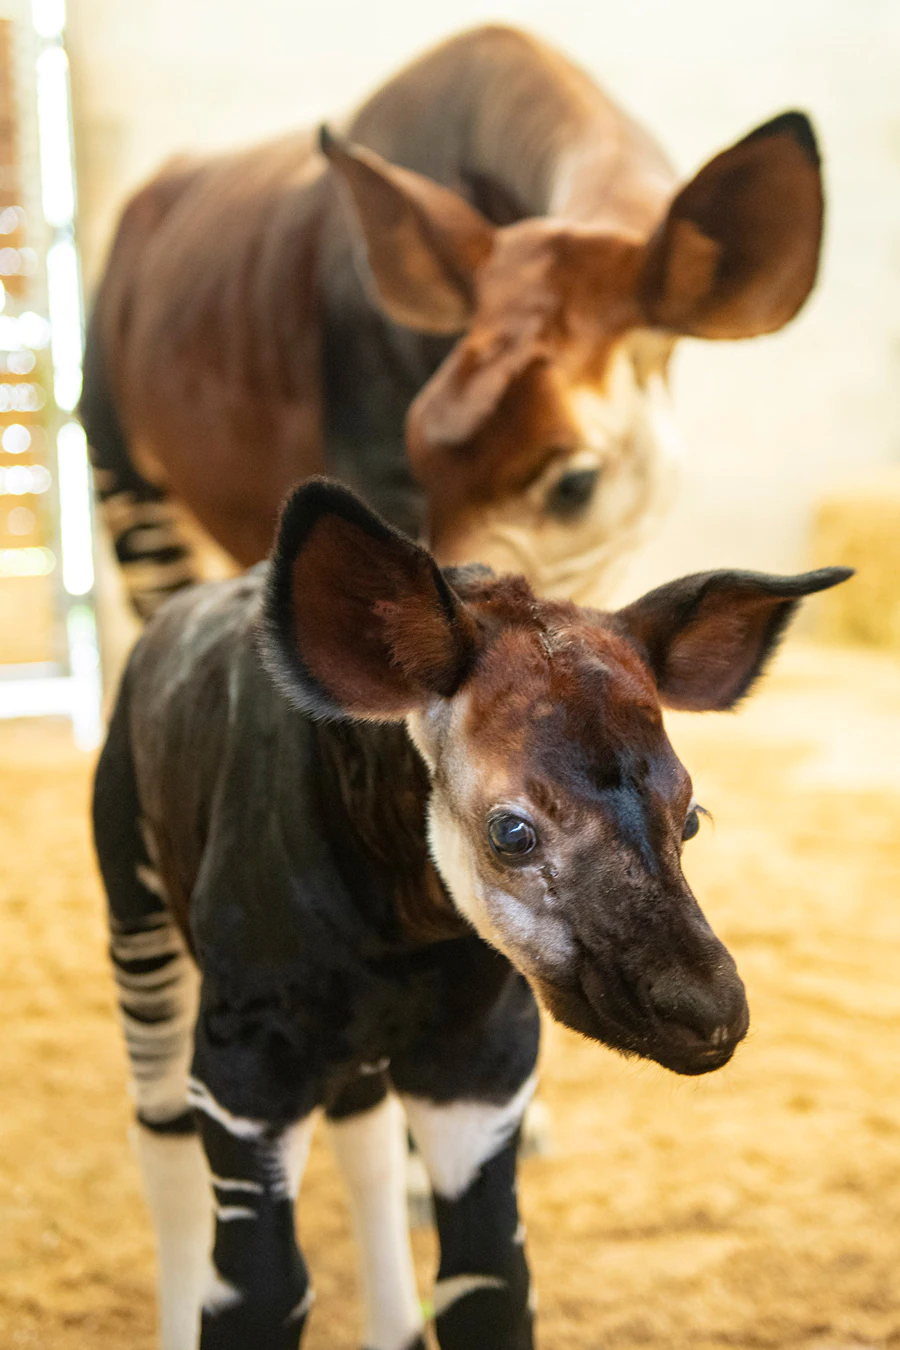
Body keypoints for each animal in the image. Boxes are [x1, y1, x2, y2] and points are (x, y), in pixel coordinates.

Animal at [93, 480, 852, 1344]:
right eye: (512, 832)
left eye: (690, 818)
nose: (713, 1013)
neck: (399, 928)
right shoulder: (246, 1073)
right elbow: (261, 1296)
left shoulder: (477, 1070)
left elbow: (489, 1283)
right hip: (138, 916)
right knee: (161, 1137)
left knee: (363, 1132)